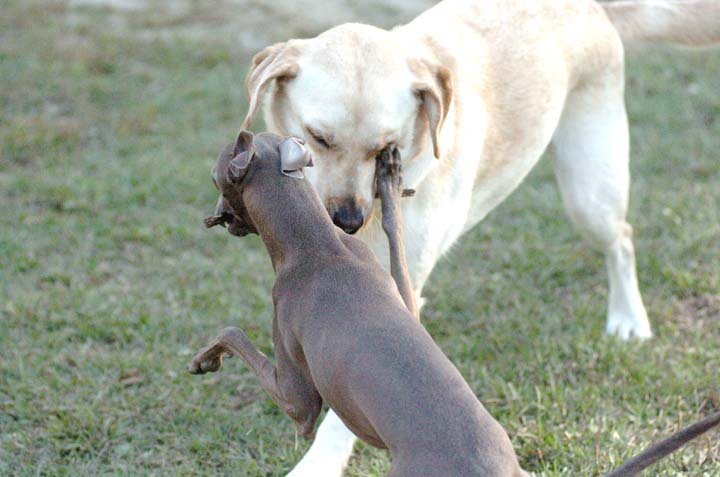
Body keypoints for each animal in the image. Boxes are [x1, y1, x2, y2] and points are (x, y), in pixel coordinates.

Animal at [235, 0, 720, 473]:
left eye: (385, 148)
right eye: (317, 138)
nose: (347, 220)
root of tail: (593, 7)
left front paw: (320, 462)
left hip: (590, 192)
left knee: (622, 238)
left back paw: (628, 318)